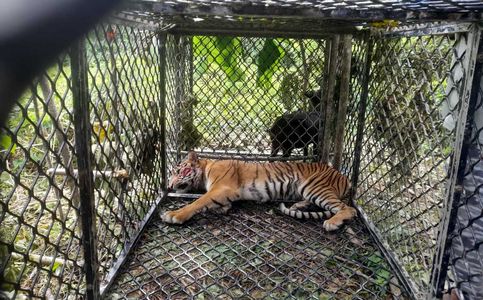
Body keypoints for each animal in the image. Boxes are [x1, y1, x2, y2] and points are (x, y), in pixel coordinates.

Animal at [161, 151, 358, 231]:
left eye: (178, 172)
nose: (169, 186)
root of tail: (343, 176)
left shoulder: (222, 188)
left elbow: (198, 202)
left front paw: (174, 214)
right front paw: (222, 209)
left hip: (314, 187)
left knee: (349, 209)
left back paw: (332, 223)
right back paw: (297, 206)